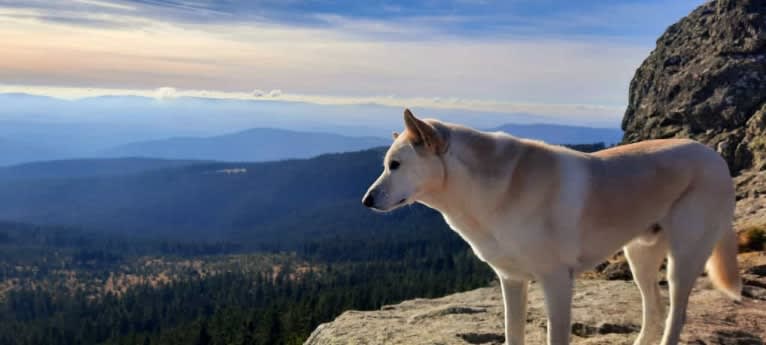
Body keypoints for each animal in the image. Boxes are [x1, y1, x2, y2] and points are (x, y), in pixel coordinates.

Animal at [366, 109, 744, 344]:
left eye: (395, 165)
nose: (366, 202)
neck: (495, 190)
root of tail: (715, 156)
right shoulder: (512, 281)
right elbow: (512, 334)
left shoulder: (557, 282)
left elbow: (555, 336)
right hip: (640, 257)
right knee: (655, 309)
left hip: (683, 260)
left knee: (676, 313)